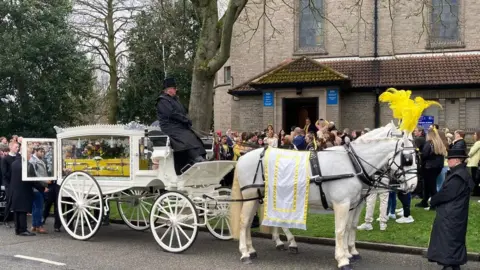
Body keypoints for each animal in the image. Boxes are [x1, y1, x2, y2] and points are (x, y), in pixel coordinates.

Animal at [231, 123, 418, 268]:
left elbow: (350, 227)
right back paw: (245, 252)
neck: (353, 163)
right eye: (408, 158)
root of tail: (242, 158)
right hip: (251, 195)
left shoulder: (354, 203)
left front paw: (350, 253)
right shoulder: (342, 204)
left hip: (259, 196)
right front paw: (343, 259)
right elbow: (340, 230)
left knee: (252, 221)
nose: (414, 185)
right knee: (244, 221)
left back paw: (256, 248)